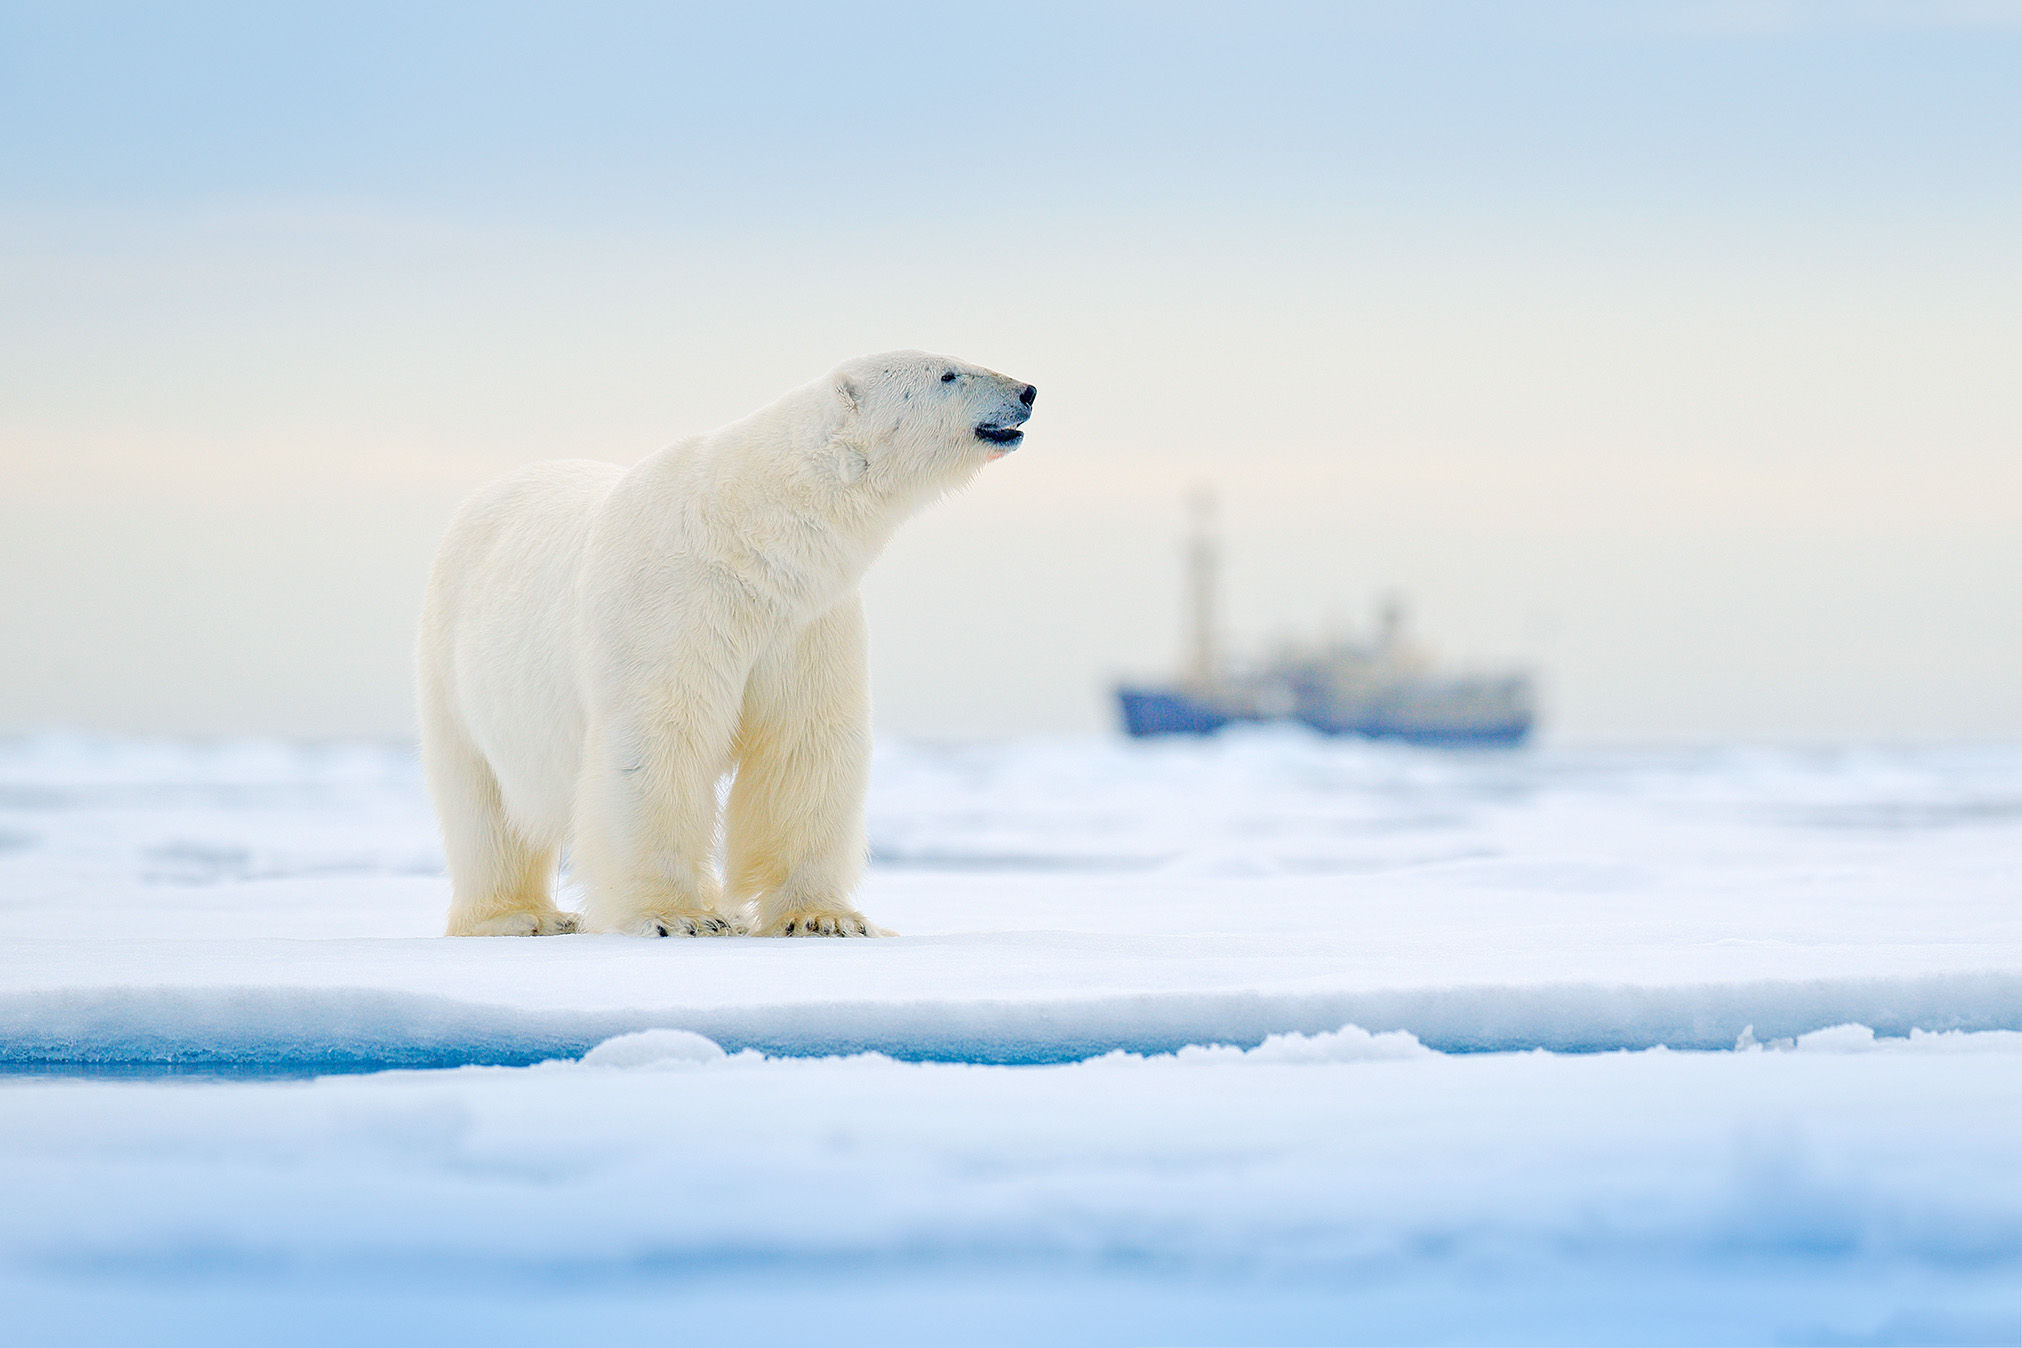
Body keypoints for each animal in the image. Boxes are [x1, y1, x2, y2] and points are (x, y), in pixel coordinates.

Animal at [416, 351, 1036, 938]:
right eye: (947, 374)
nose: (1027, 390)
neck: (748, 533)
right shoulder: (674, 604)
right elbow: (659, 738)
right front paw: (674, 916)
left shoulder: (807, 618)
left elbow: (804, 742)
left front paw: (824, 918)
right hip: (455, 659)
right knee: (482, 804)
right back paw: (519, 915)